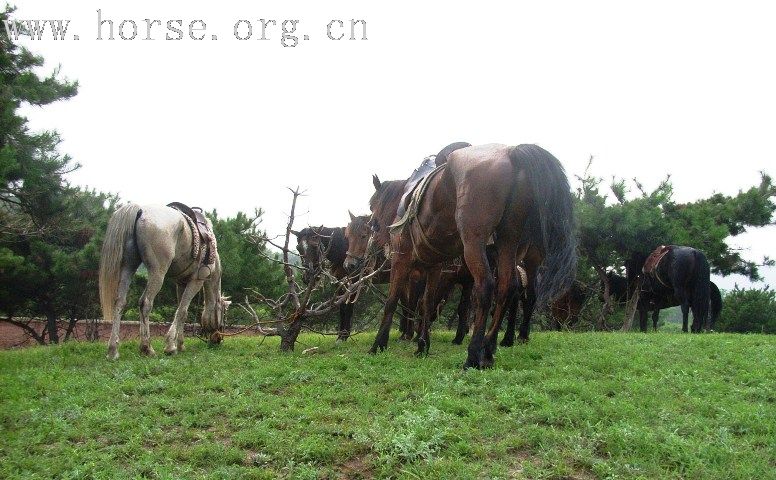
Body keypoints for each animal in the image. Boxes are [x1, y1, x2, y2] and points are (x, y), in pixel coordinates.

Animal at [98, 203, 229, 360]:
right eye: (223, 314)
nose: (218, 339)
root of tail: (141, 211)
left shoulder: (181, 283)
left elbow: (182, 312)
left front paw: (180, 344)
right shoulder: (196, 281)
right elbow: (182, 311)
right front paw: (170, 346)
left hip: (128, 267)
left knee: (120, 302)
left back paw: (113, 350)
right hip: (157, 272)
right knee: (145, 303)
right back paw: (147, 348)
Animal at [346, 142, 576, 368]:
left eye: (372, 204)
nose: (351, 263)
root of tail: (512, 154)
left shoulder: (402, 259)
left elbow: (393, 301)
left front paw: (379, 344)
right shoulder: (435, 266)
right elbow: (427, 303)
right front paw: (422, 346)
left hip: (475, 244)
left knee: (486, 287)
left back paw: (474, 355)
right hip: (509, 242)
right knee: (508, 288)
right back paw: (490, 349)